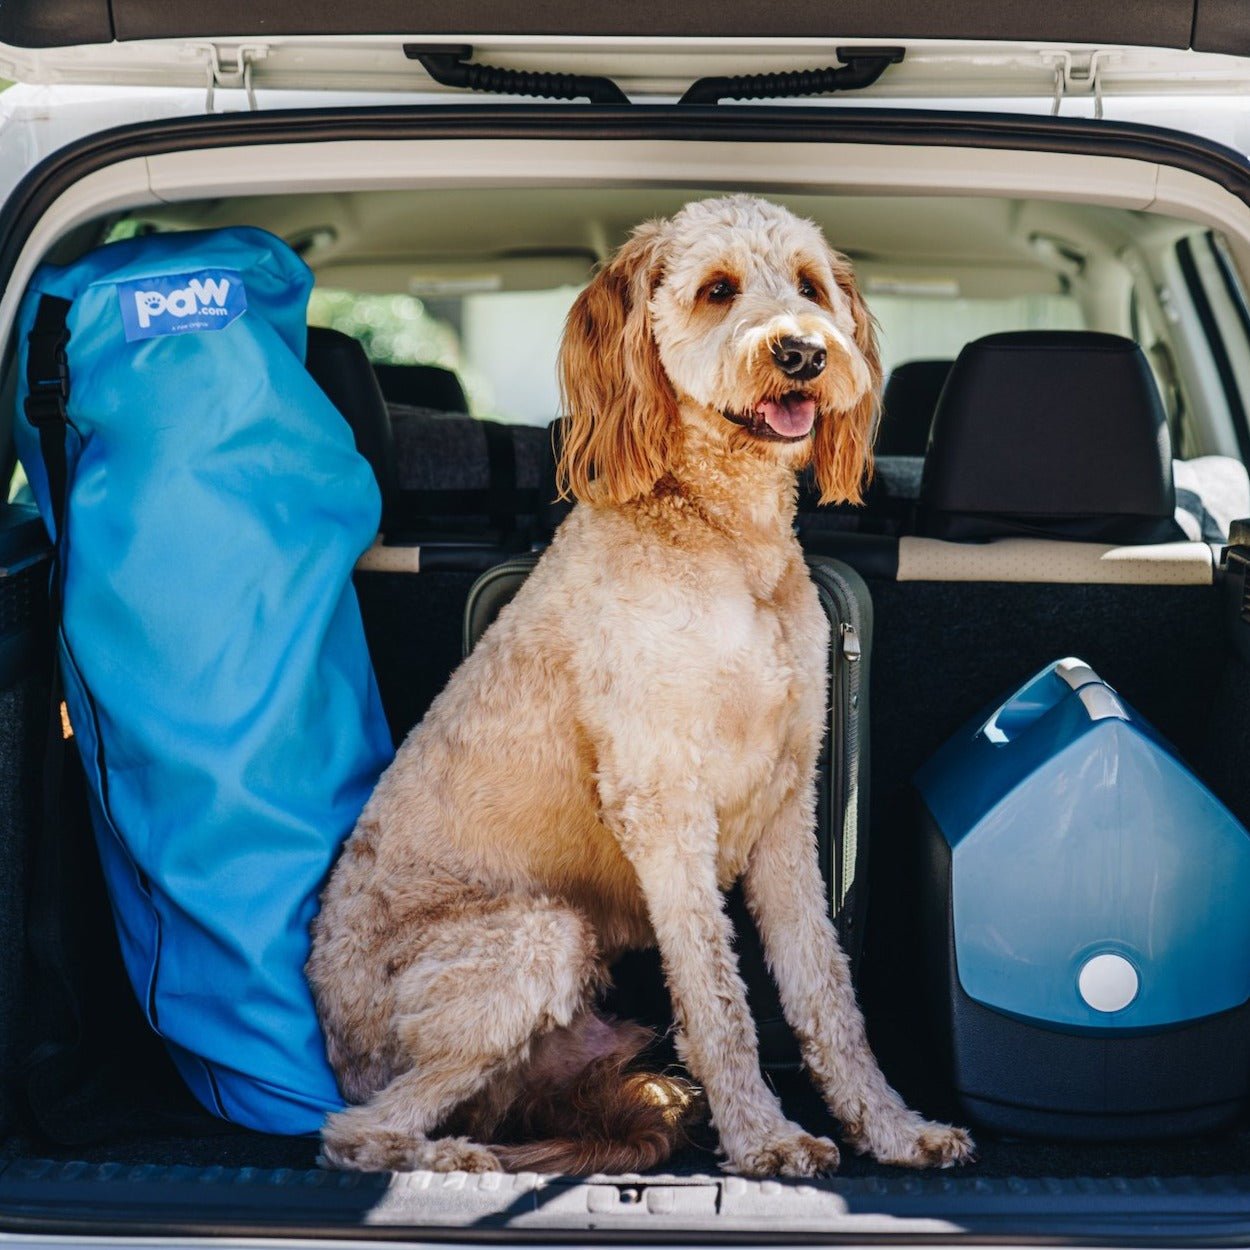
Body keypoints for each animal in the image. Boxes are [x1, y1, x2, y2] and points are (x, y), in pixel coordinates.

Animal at [307, 190, 970, 1175]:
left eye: (810, 285)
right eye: (718, 289)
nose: (804, 352)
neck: (726, 539)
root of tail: (333, 1037)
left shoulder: (787, 804)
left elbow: (825, 991)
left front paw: (890, 1127)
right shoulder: (662, 803)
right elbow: (718, 997)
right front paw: (765, 1138)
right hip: (536, 936)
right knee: (356, 1130)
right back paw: (452, 1160)